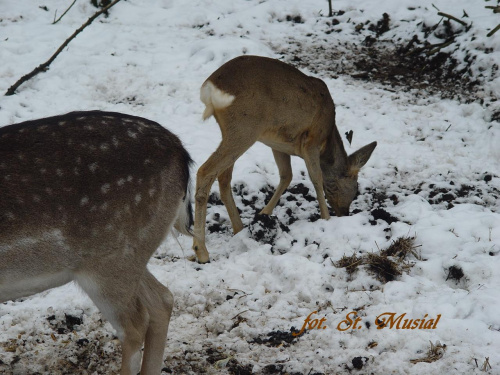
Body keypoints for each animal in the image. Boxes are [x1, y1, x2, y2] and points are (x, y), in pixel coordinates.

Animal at [193, 55, 376, 264]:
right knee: (206, 171)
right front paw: (326, 219)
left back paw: (239, 229)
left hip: (233, 132)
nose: (344, 213)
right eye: (355, 189)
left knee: (223, 178)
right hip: (244, 129)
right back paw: (202, 251)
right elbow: (316, 178)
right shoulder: (311, 142)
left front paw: (264, 213)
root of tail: (210, 86)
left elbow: (286, 176)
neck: (327, 138)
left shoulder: (279, 144)